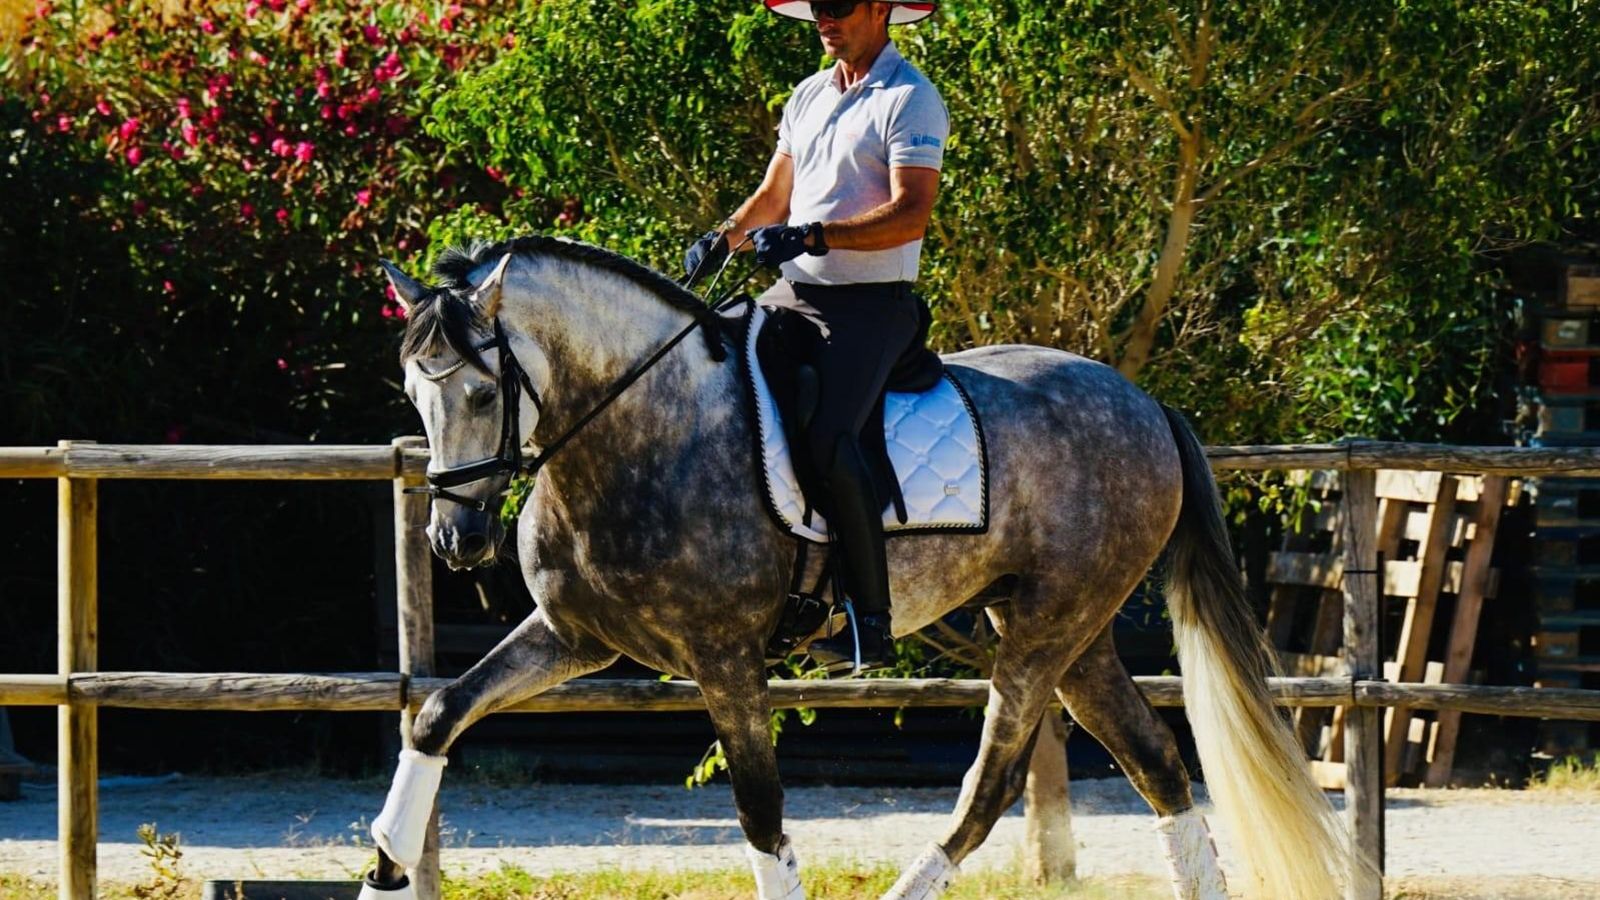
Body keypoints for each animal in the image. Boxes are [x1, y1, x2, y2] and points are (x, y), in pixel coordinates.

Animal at [361, 234, 1361, 900]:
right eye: (412, 389)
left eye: (481, 392)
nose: (455, 542)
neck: (643, 423)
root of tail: (1147, 403)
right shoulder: (575, 636)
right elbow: (439, 715)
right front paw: (384, 870)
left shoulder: (726, 659)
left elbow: (761, 811)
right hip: (1070, 634)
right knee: (1157, 765)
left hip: (1048, 632)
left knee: (990, 788)